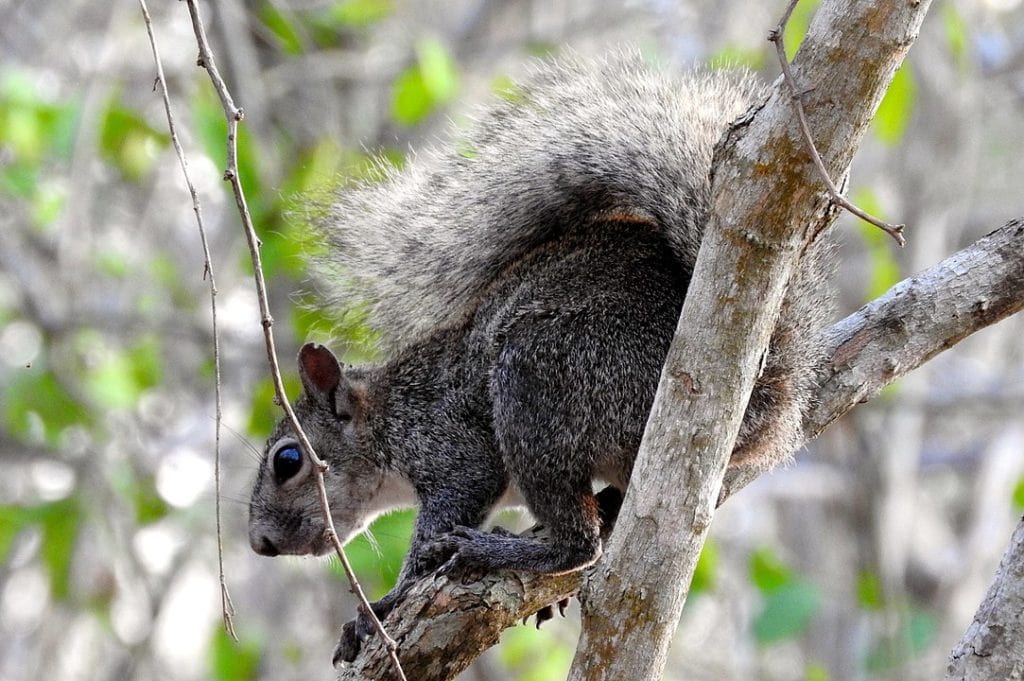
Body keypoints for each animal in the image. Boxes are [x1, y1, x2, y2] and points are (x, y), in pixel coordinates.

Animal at [247, 51, 833, 664]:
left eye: (288, 460)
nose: (260, 543)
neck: (388, 414)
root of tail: (752, 402)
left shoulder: (452, 446)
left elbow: (441, 523)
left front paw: (379, 609)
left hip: (540, 379)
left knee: (579, 545)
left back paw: (499, 551)